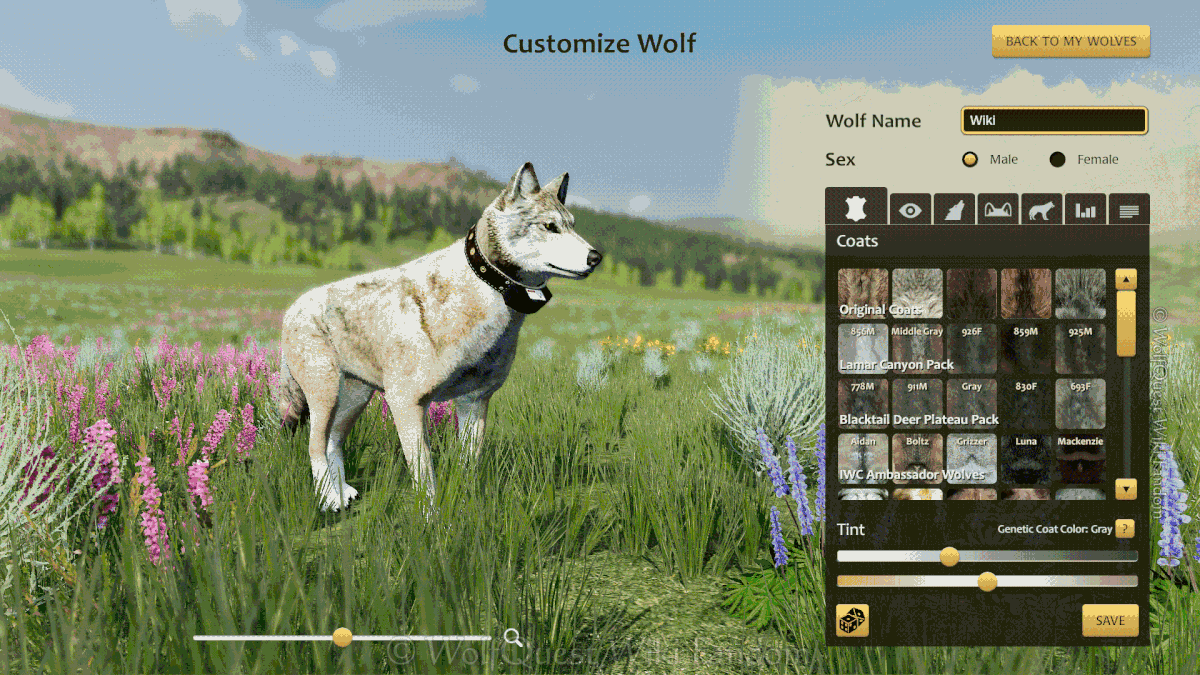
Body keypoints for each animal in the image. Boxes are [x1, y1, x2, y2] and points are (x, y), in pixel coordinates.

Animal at [278, 163, 602, 511]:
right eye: (550, 226)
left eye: (572, 226)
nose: (596, 257)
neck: (486, 291)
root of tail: (292, 308)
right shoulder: (407, 404)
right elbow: (426, 481)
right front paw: (430, 519)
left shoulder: (475, 402)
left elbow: (469, 469)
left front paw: (467, 511)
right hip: (325, 396)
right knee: (314, 447)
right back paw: (329, 500)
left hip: (353, 399)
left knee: (332, 444)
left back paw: (342, 493)